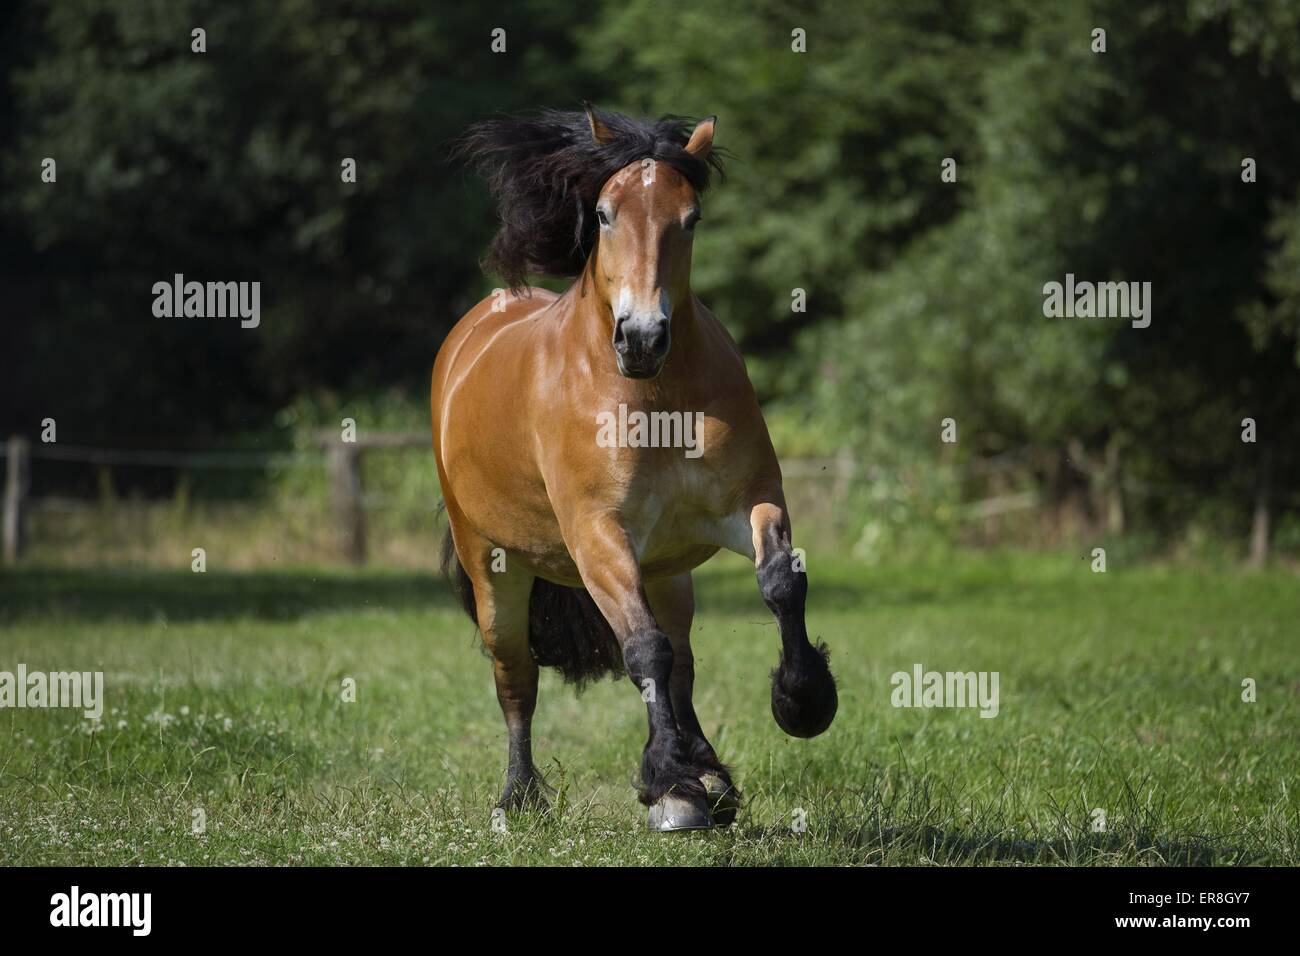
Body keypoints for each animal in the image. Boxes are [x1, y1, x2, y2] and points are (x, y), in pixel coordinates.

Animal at [433, 106, 837, 831]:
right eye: (604, 213)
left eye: (691, 217)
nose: (643, 338)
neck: (655, 397)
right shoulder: (599, 538)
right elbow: (642, 649)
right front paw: (666, 784)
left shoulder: (751, 502)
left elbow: (780, 585)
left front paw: (802, 701)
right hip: (493, 568)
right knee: (518, 678)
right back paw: (520, 798)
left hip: (667, 571)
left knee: (681, 665)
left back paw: (710, 781)